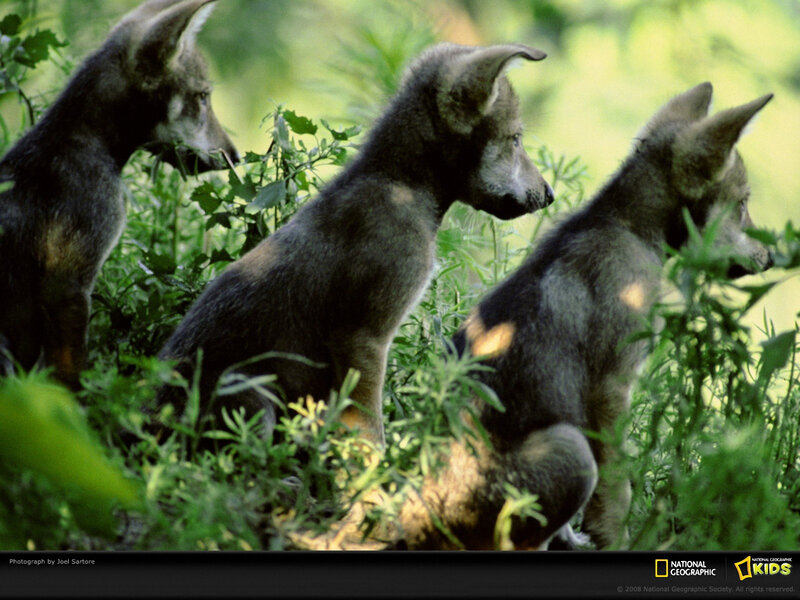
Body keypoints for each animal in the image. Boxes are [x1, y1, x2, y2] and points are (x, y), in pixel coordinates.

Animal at [157, 42, 555, 446]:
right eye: (516, 139)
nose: (550, 195)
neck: (401, 186)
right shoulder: (363, 337)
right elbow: (368, 426)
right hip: (254, 397)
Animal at [397, 83, 773, 549]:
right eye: (742, 204)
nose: (771, 256)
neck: (628, 229)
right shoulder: (610, 388)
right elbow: (618, 489)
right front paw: (616, 539)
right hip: (569, 449)